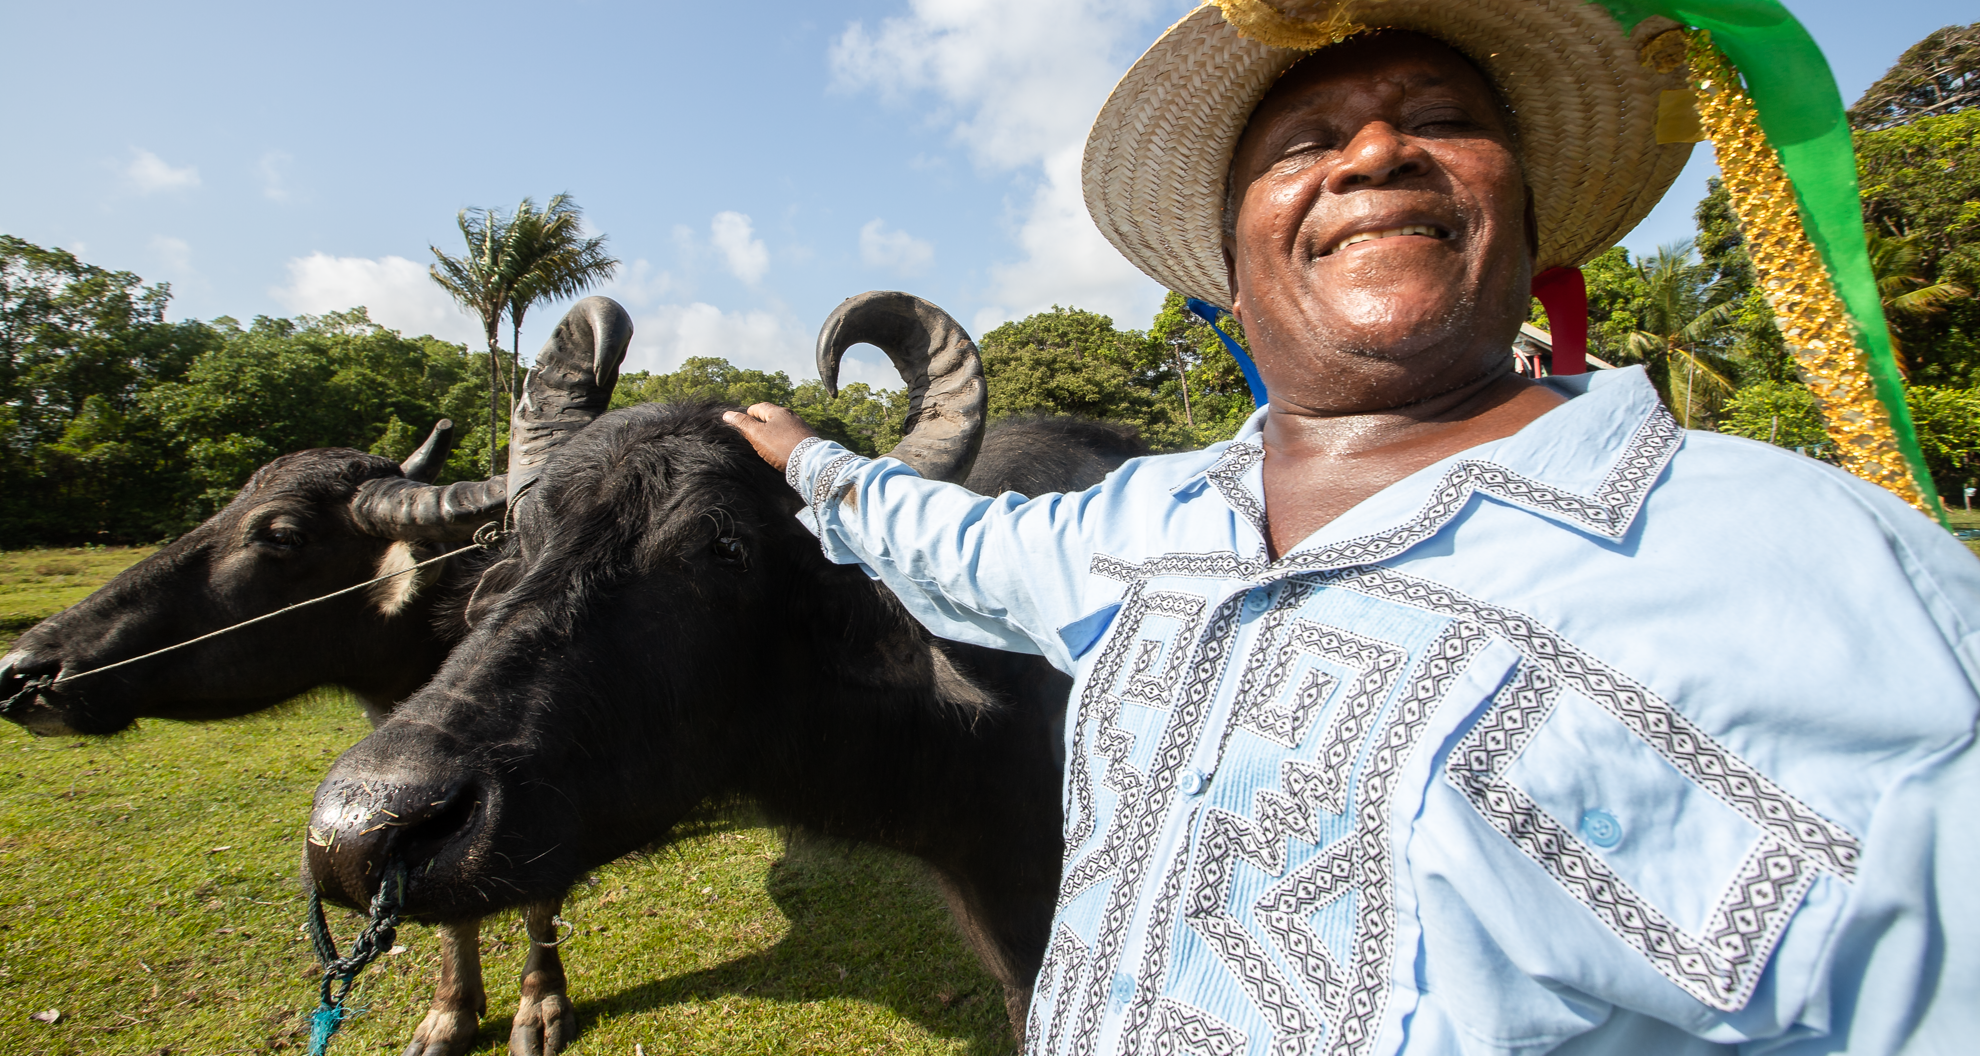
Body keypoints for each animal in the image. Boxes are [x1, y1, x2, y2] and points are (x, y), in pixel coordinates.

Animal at [0, 295, 629, 1054]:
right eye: (225, 507)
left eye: (281, 534)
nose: (25, 670)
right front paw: (449, 1012)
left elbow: (540, 897)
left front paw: (539, 1004)